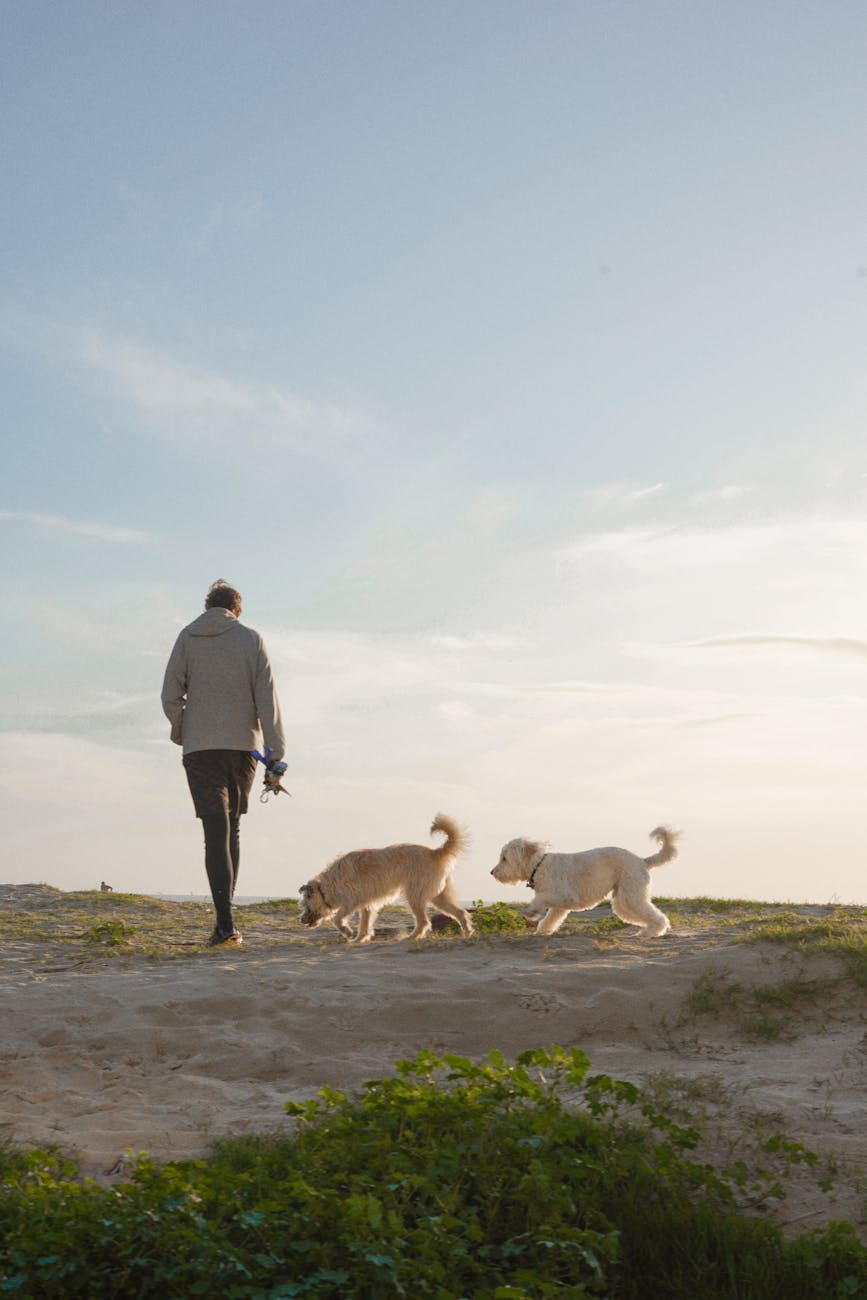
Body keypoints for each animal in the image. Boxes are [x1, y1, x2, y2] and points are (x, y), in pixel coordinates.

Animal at [298, 811, 475, 946]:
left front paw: (347, 932)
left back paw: (411, 937)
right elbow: (364, 924)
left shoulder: (351, 902)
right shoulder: (366, 905)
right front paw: (360, 939)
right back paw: (467, 933)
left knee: (424, 921)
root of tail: (435, 852)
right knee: (460, 912)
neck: (325, 888)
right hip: (438, 897)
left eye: (305, 904)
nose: (301, 920)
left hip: (414, 895)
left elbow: (337, 918)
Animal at [491, 821, 681, 935]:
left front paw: (532, 912)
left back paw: (651, 932)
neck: (539, 866)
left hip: (631, 895)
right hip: (623, 900)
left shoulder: (565, 896)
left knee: (658, 916)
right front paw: (542, 931)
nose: (492, 872)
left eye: (504, 858)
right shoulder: (559, 906)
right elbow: (550, 920)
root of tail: (642, 860)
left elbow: (540, 899)